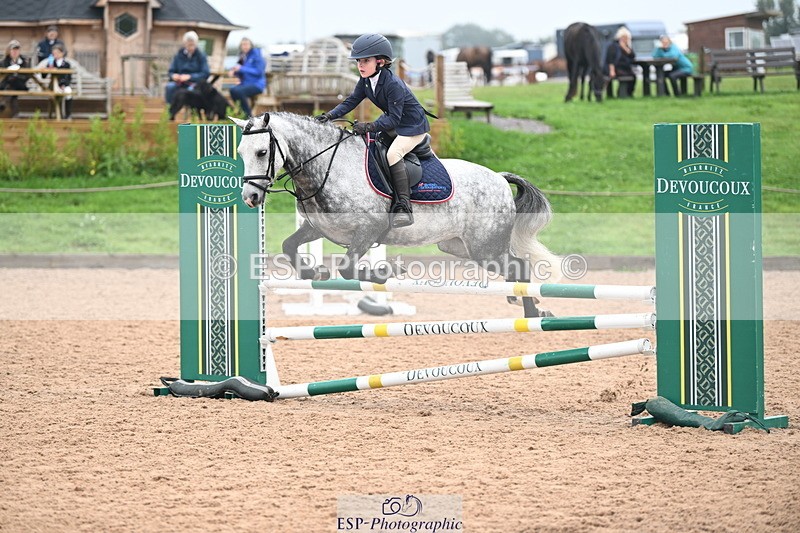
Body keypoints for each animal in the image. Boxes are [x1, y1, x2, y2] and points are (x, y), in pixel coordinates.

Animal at [234, 112, 559, 317]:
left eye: (262, 152)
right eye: (240, 152)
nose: (250, 198)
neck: (327, 167)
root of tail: (500, 179)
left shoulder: (367, 232)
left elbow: (348, 269)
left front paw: (388, 271)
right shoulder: (320, 229)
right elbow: (289, 246)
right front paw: (315, 273)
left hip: (485, 247)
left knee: (519, 267)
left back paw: (533, 311)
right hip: (459, 246)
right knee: (515, 268)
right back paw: (527, 304)